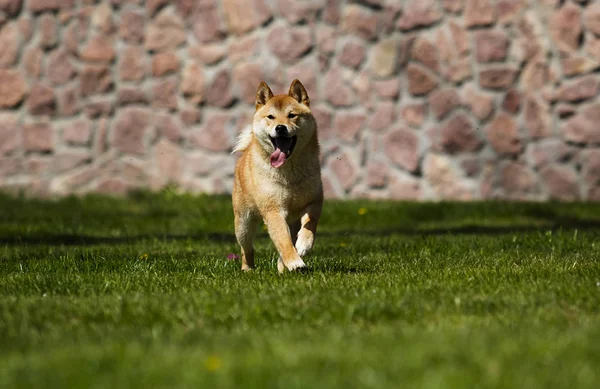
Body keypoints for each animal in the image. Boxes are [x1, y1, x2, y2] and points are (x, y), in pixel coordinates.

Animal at [232, 79, 324, 272]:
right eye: (271, 117)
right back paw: (248, 268)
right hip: (243, 223)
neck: (289, 172)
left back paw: (283, 266)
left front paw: (304, 245)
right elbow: (283, 240)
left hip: (291, 220)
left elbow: (310, 223)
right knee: (247, 248)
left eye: (292, 115)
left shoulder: (315, 201)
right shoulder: (273, 210)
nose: (280, 128)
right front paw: (295, 262)